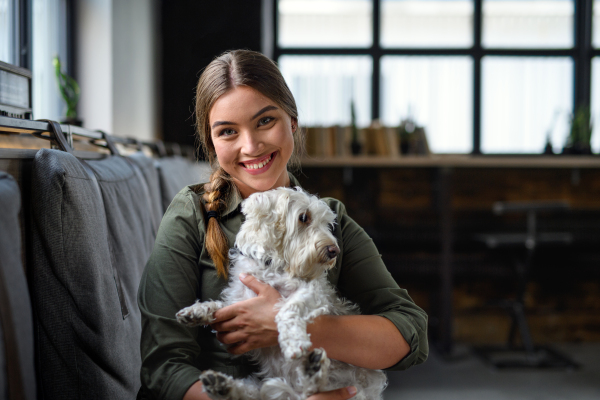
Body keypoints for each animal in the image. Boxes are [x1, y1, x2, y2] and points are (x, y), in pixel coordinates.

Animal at [176, 187, 386, 400]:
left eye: (327, 223)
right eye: (303, 217)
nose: (333, 251)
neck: (271, 264)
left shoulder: (314, 293)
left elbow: (288, 309)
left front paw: (293, 341)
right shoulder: (240, 303)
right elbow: (221, 307)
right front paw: (197, 311)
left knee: (314, 389)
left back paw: (314, 369)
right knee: (249, 392)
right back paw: (220, 385)